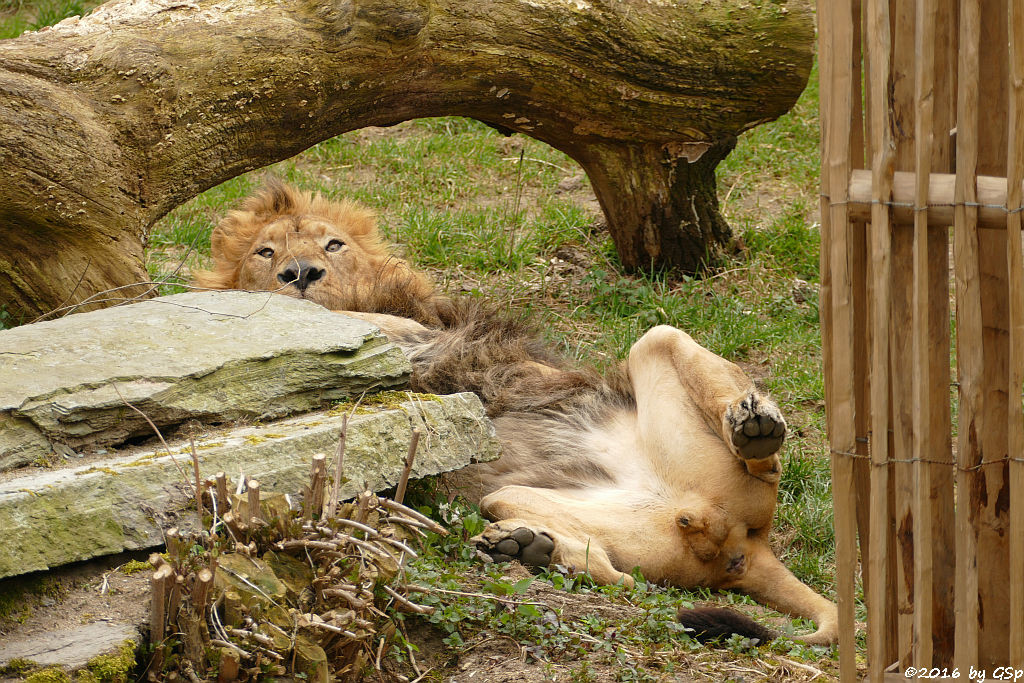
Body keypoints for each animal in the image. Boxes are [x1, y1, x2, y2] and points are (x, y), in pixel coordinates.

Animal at [192, 178, 839, 647]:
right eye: (266, 251)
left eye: (333, 245)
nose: (299, 274)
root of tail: (743, 546)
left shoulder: (409, 324)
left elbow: (374, 327)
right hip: (569, 510)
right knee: (620, 573)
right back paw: (528, 548)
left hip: (660, 348)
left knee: (752, 454)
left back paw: (755, 431)